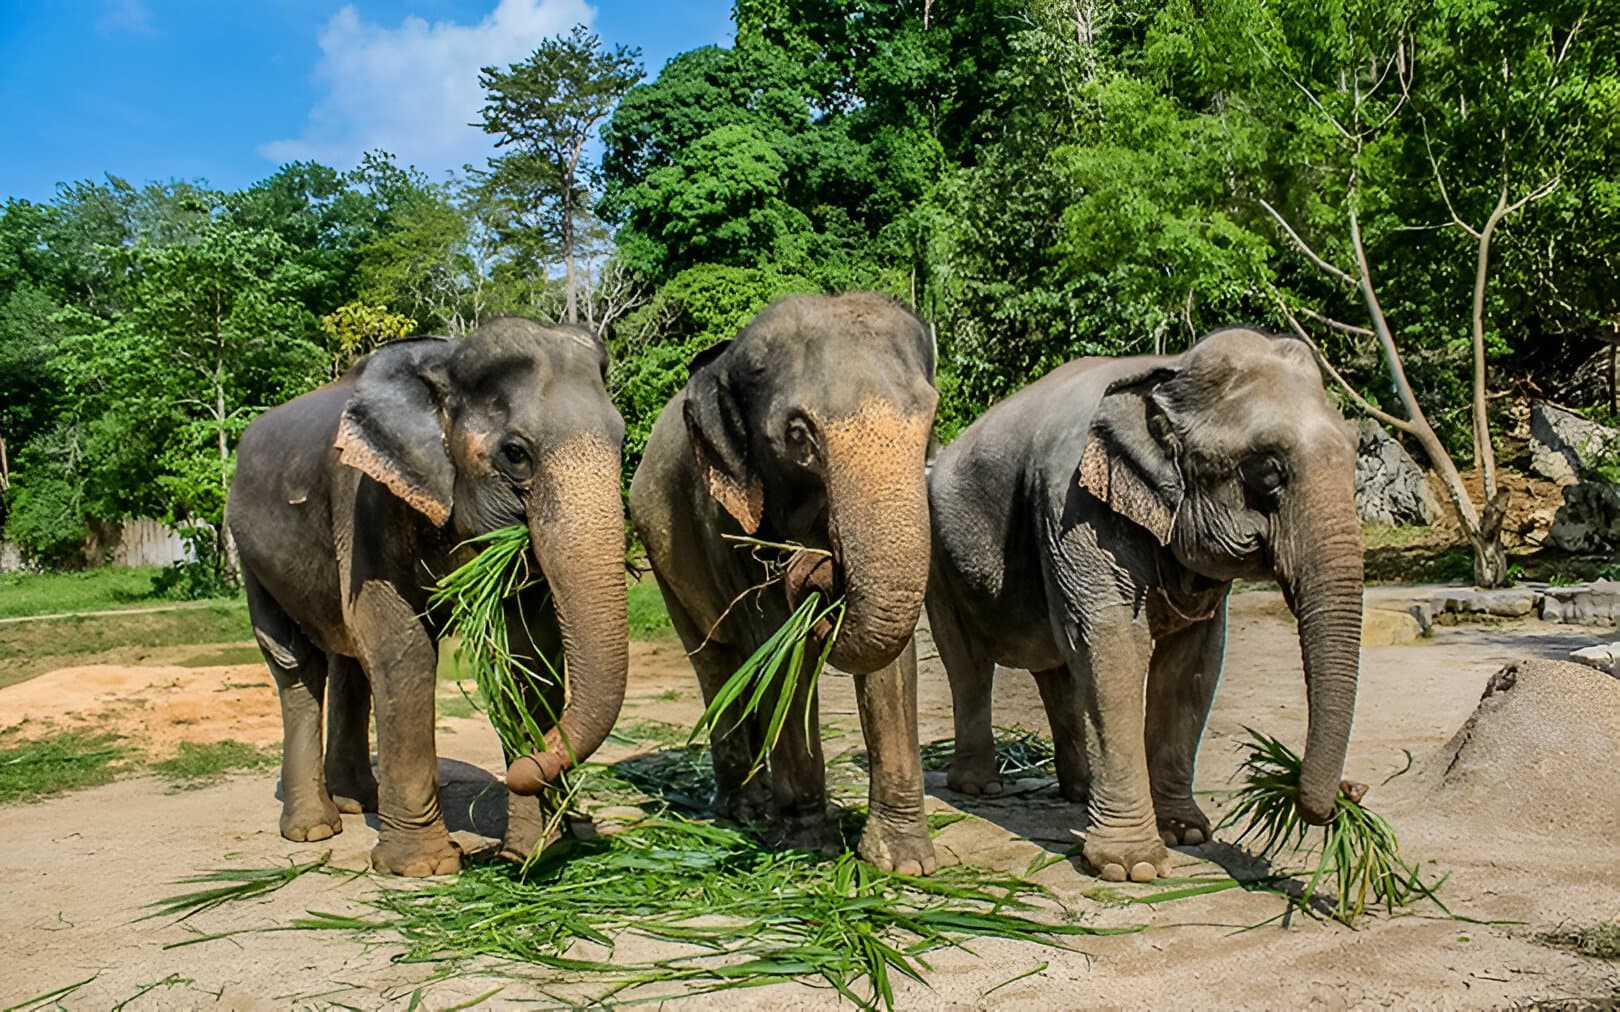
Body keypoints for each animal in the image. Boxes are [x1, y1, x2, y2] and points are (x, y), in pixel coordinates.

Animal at [225, 317, 628, 874]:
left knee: (349, 661)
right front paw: (424, 868)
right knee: (296, 663)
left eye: (623, 441)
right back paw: (314, 829)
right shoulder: (364, 495)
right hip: (248, 551)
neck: (445, 362)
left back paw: (360, 802)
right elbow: (402, 644)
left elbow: (527, 654)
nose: (526, 767)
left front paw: (534, 852)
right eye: (515, 453)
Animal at [628, 294, 939, 874]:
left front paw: (903, 864)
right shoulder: (727, 522)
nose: (820, 565)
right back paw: (745, 810)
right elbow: (780, 646)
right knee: (718, 662)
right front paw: (809, 847)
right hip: (661, 558)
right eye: (798, 437)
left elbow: (891, 664)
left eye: (930, 422)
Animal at [926, 327, 1367, 880]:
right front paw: (1131, 866)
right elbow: (1115, 644)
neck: (1168, 370)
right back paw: (981, 786)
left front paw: (1187, 833)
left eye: (1357, 451)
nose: (1353, 791)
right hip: (936, 556)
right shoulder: (1074, 503)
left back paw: (1079, 792)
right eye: (1268, 471)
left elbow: (1193, 663)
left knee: (1059, 666)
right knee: (967, 663)